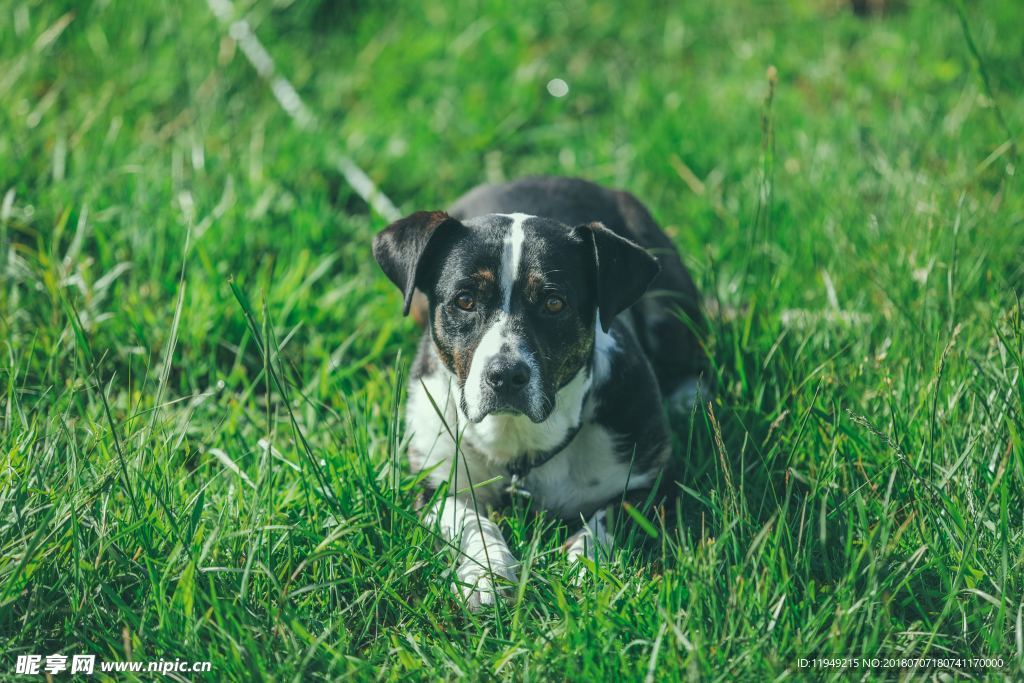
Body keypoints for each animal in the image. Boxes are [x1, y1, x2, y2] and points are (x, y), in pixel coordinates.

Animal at [376, 176, 704, 610]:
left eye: (553, 302)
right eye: (465, 300)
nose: (505, 375)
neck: (519, 442)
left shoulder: (655, 482)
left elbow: (609, 517)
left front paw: (586, 564)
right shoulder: (436, 483)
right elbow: (471, 521)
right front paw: (487, 573)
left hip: (667, 297)